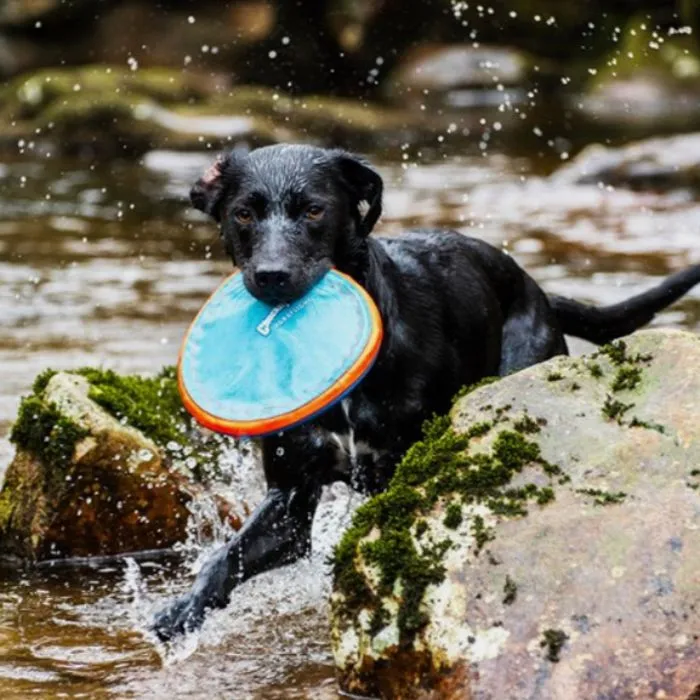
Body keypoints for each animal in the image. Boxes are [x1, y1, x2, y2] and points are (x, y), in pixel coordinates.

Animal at [152, 144, 700, 640]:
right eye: (243, 213)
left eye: (314, 209)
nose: (272, 276)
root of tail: (537, 291)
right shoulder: (291, 503)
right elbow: (227, 557)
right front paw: (183, 610)